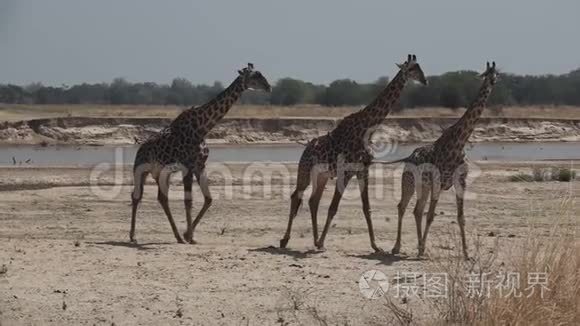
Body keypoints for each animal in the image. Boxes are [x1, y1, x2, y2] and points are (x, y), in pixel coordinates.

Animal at [130, 63, 270, 243]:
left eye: (261, 74)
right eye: (254, 76)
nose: (269, 87)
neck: (202, 128)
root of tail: (140, 149)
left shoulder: (199, 165)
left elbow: (208, 199)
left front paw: (188, 235)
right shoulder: (187, 166)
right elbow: (188, 201)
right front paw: (189, 236)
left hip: (163, 173)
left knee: (162, 198)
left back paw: (177, 236)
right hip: (140, 169)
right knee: (136, 196)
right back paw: (133, 236)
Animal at [278, 54, 428, 252]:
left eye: (420, 67)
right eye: (411, 69)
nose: (425, 80)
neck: (367, 129)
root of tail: (306, 149)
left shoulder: (363, 169)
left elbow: (367, 208)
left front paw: (375, 246)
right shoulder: (347, 171)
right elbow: (333, 207)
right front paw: (323, 241)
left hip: (322, 175)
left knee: (313, 201)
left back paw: (315, 240)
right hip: (304, 170)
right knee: (296, 195)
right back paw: (285, 240)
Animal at [380, 61, 498, 260]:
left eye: (497, 74)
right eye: (487, 74)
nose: (492, 82)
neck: (458, 143)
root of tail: (409, 157)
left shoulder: (460, 182)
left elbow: (460, 217)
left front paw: (466, 253)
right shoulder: (438, 182)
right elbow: (431, 216)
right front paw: (421, 250)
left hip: (424, 186)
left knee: (417, 210)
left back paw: (419, 246)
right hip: (409, 182)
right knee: (402, 207)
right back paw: (397, 247)